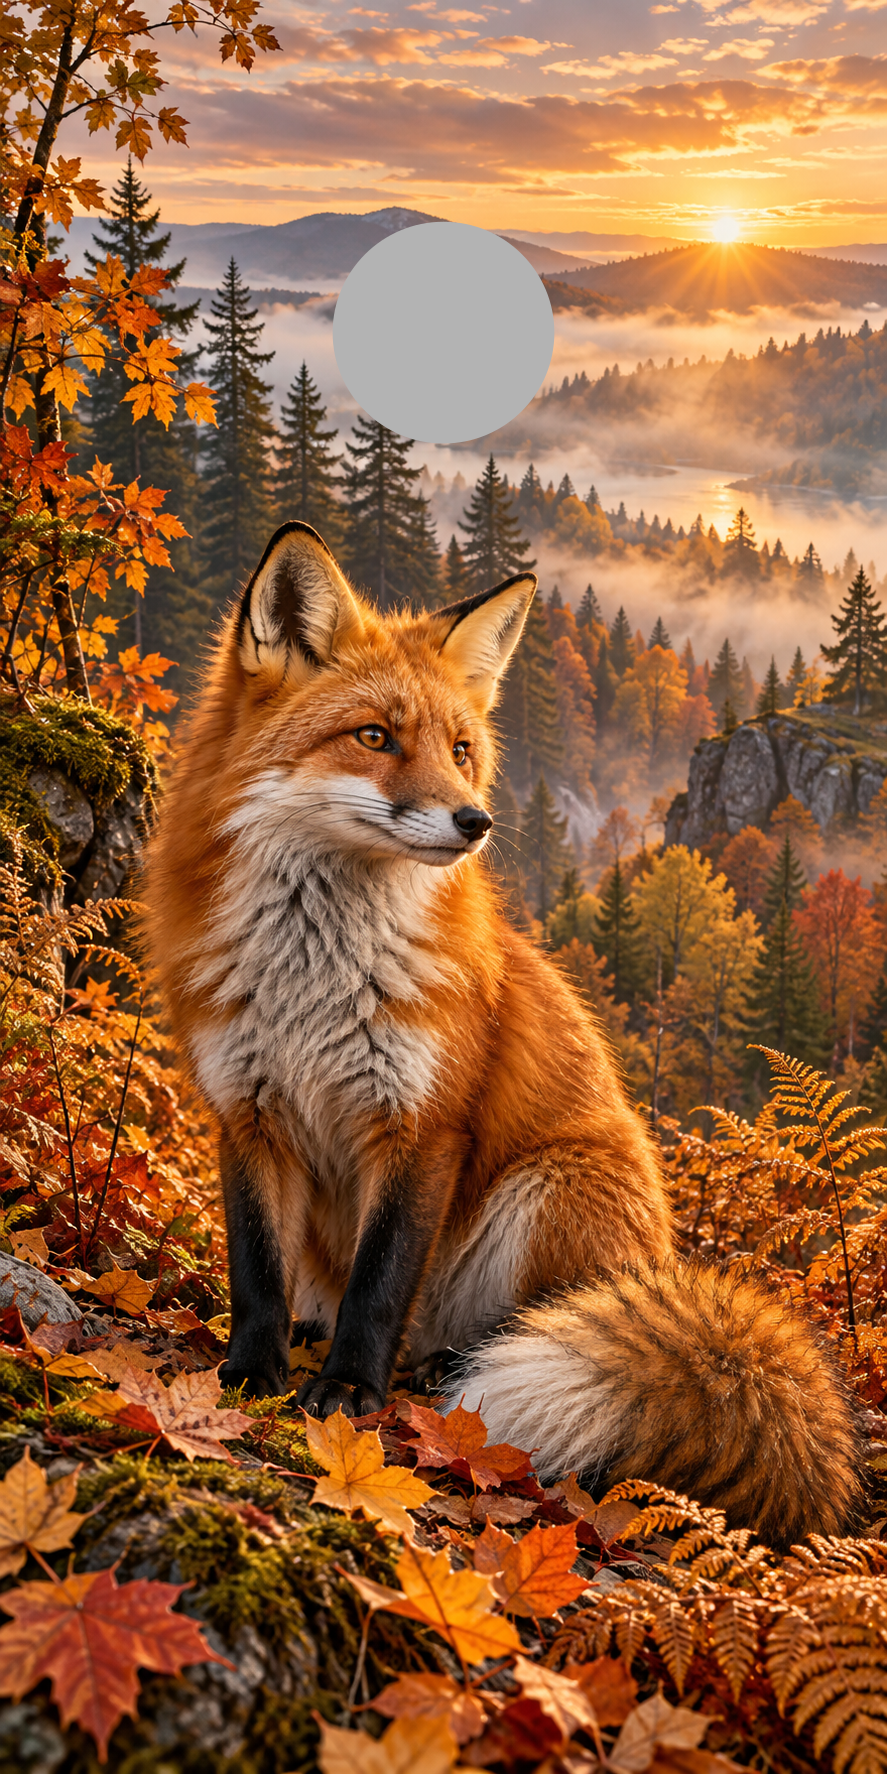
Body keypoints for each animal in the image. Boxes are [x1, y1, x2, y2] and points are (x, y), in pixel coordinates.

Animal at [146, 520, 860, 1549]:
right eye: (374, 737)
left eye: (459, 749)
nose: (474, 820)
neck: (312, 974)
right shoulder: (245, 1107)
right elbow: (254, 1268)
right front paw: (251, 1372)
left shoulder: (423, 1124)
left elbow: (379, 1282)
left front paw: (348, 1393)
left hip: (548, 1192)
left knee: (500, 1330)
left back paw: (447, 1373)